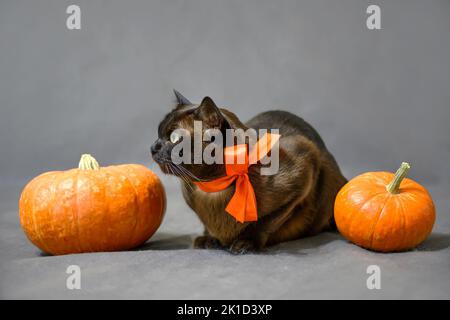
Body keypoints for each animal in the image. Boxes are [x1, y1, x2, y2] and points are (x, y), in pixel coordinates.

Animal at [151, 90, 348, 255]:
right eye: (158, 133)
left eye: (174, 138)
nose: (153, 147)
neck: (214, 188)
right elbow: (208, 226)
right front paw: (209, 239)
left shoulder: (304, 167)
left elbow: (265, 223)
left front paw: (245, 243)